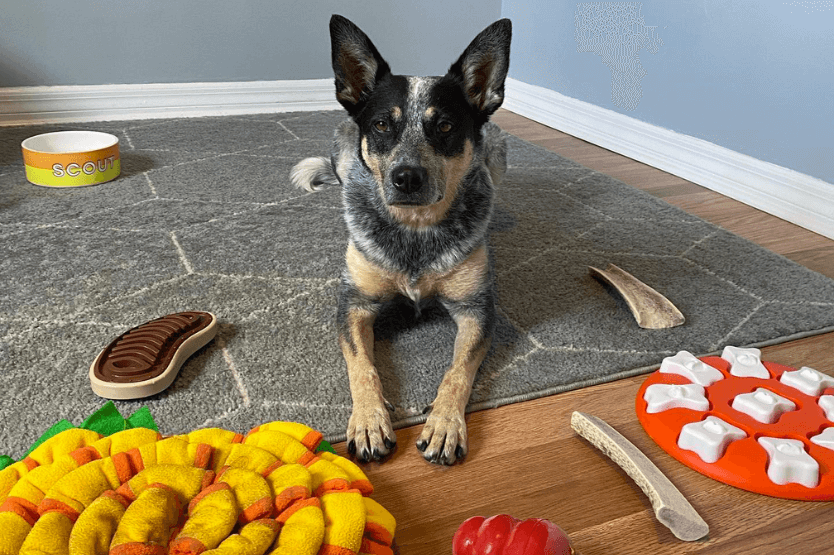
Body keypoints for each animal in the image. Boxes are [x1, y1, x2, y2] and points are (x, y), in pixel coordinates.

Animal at [292, 15, 512, 464]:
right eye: (381, 124)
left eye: (444, 126)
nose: (406, 177)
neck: (414, 230)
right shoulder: (354, 304)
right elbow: (362, 366)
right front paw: (369, 421)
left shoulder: (477, 309)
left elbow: (458, 371)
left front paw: (444, 425)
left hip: (497, 148)